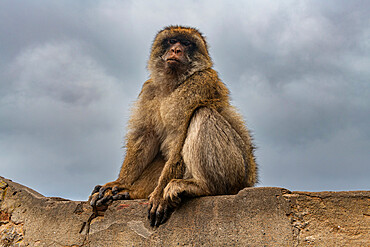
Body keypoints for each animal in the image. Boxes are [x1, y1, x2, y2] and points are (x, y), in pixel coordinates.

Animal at [89, 26, 258, 227]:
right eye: (171, 41)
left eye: (186, 43)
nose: (176, 50)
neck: (173, 82)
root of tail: (250, 180)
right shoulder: (149, 89)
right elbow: (145, 137)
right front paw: (121, 184)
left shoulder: (199, 82)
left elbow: (179, 136)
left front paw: (159, 196)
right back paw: (129, 192)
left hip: (237, 170)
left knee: (202, 113)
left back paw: (204, 187)